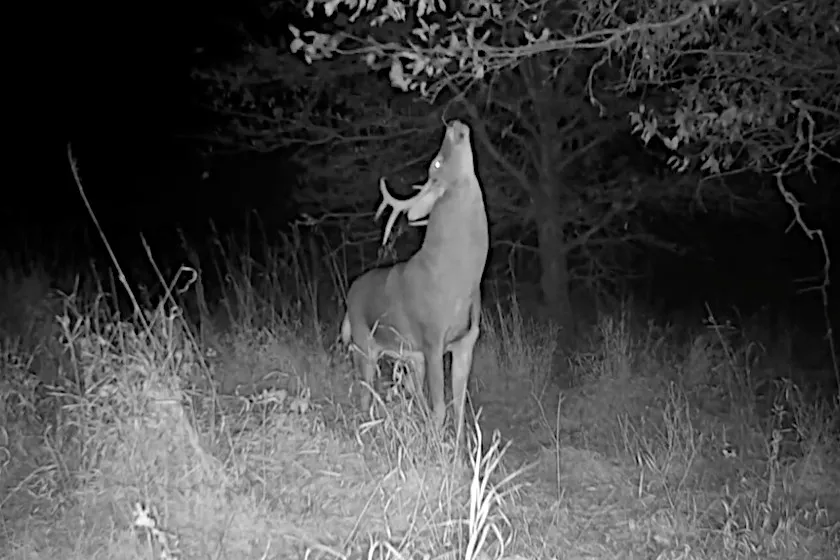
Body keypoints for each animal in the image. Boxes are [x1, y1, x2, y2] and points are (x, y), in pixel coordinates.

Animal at [340, 120, 489, 448]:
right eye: (436, 163)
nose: (453, 124)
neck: (459, 280)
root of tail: (351, 291)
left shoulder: (466, 341)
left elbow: (458, 408)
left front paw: (459, 451)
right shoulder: (432, 338)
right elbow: (440, 408)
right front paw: (438, 450)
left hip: (409, 356)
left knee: (411, 395)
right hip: (363, 343)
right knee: (364, 391)